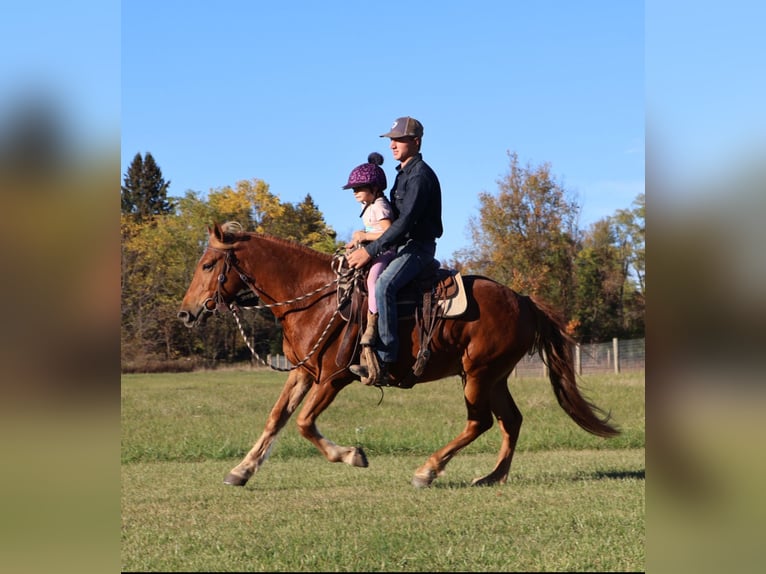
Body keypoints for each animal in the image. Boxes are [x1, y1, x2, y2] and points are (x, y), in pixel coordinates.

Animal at [177, 222, 619, 488]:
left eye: (209, 264)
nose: (186, 312)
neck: (315, 299)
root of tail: (523, 300)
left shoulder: (333, 377)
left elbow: (303, 423)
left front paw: (352, 455)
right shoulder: (302, 372)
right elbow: (276, 419)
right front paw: (242, 470)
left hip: (478, 373)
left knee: (480, 422)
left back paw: (428, 470)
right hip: (490, 376)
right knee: (510, 420)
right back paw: (492, 476)